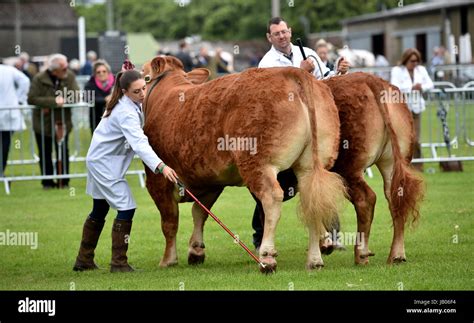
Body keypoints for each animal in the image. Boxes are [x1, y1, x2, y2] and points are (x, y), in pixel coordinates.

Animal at [141, 56, 344, 274]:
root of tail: (293, 73)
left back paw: (267, 257)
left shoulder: (157, 180)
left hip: (258, 163)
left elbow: (170, 222)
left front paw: (168, 260)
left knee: (272, 197)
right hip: (310, 166)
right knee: (312, 200)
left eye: (144, 76)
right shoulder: (211, 180)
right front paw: (196, 250)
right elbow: (200, 213)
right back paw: (314, 259)